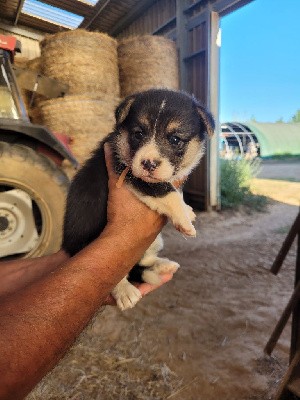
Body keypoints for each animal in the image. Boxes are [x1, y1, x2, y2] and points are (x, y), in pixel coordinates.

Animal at [62, 89, 213, 310]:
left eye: (175, 139)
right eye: (138, 134)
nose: (148, 163)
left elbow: (175, 191)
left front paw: (187, 210)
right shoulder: (131, 173)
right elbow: (168, 192)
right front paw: (185, 222)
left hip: (154, 243)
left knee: (143, 262)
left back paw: (163, 265)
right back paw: (126, 292)